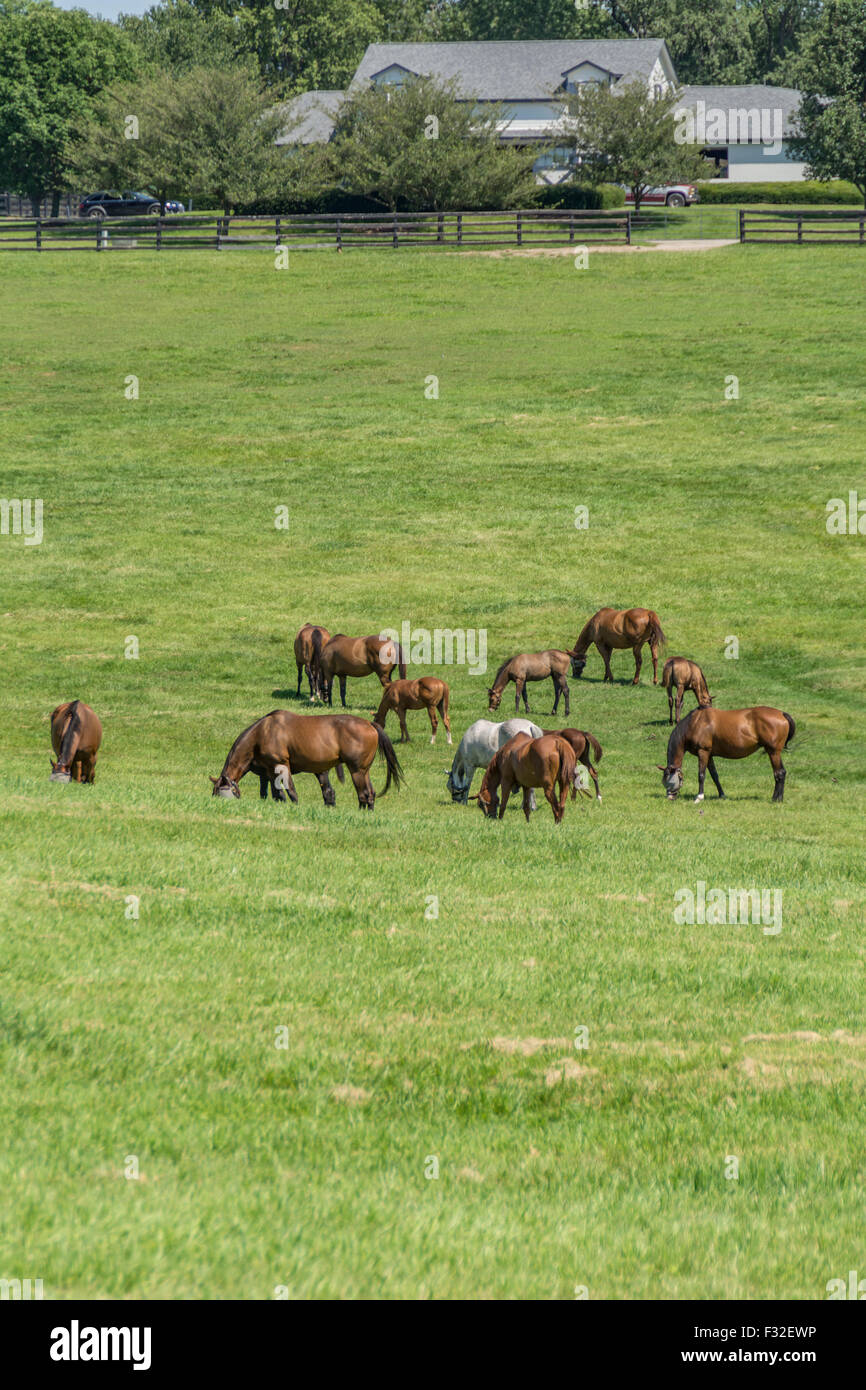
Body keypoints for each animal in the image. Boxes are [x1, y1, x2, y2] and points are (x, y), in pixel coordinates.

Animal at [210, 709, 403, 810]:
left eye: (221, 793)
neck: (262, 732)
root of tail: (370, 724)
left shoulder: (282, 767)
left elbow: (290, 791)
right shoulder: (269, 773)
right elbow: (274, 794)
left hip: (357, 770)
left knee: (364, 794)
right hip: (364, 771)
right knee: (370, 793)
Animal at [658, 707, 795, 804]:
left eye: (669, 781)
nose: (670, 798)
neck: (695, 723)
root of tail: (782, 714)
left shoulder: (703, 752)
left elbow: (701, 775)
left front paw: (699, 797)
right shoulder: (709, 755)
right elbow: (715, 775)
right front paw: (722, 795)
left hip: (773, 752)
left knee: (779, 773)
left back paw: (776, 799)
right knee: (780, 773)